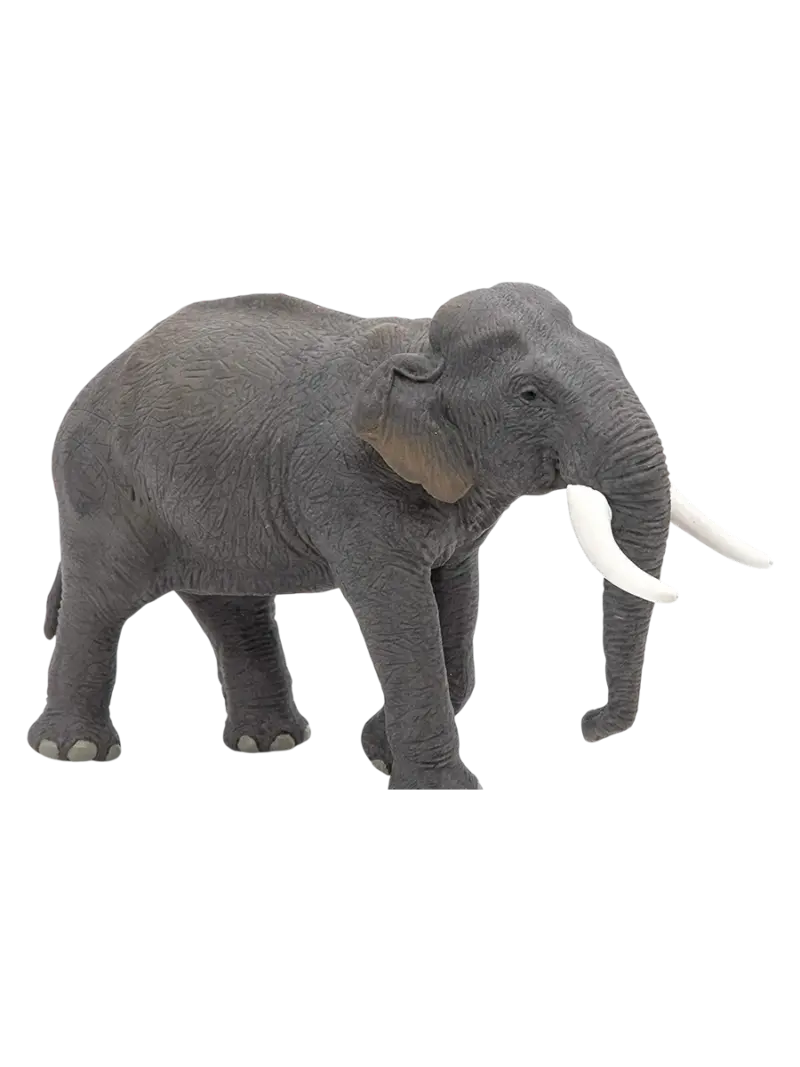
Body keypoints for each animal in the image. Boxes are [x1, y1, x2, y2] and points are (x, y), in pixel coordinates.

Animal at [33, 284, 773, 783]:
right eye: (530, 396)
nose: (589, 725)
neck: (421, 346)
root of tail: (95, 379)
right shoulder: (345, 478)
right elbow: (401, 607)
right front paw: (438, 784)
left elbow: (454, 600)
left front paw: (381, 745)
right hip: (104, 486)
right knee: (102, 597)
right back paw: (74, 752)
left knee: (229, 604)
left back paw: (272, 744)